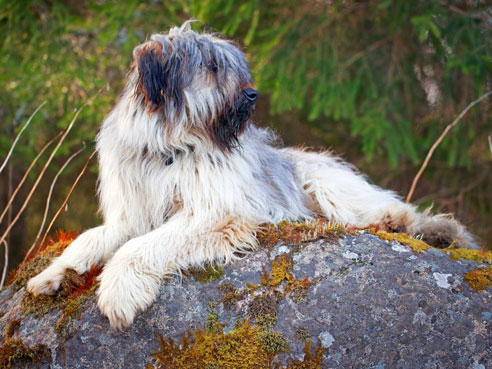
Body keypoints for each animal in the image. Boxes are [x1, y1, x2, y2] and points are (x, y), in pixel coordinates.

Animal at [26, 21, 476, 330]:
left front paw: (118, 289)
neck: (170, 149)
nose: (252, 94)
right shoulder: (131, 216)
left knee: (387, 210)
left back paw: (417, 226)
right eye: (210, 67)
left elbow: (140, 247)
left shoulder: (217, 212)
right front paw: (52, 275)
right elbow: (91, 239)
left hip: (327, 183)